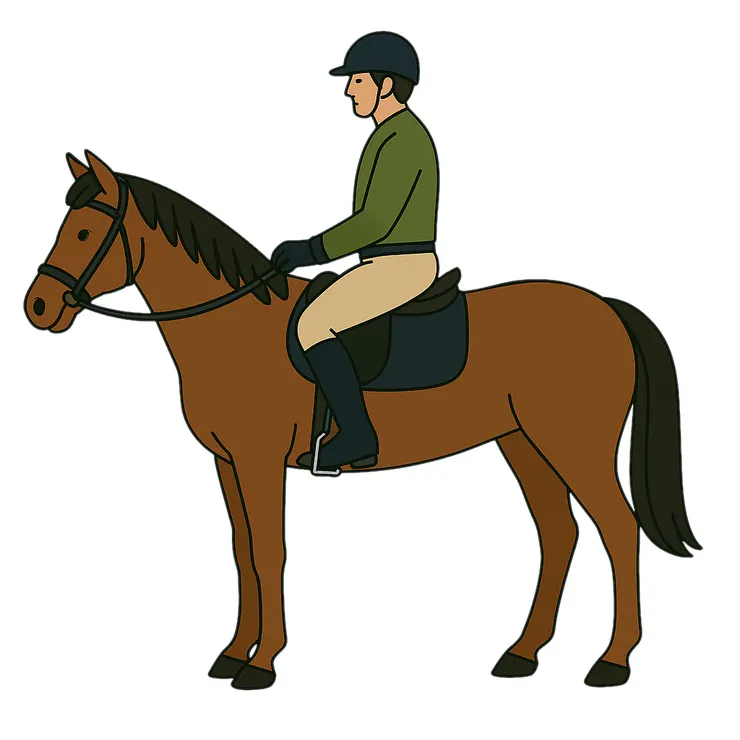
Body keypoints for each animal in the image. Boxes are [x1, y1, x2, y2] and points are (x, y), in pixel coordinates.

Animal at [24, 150, 701, 690]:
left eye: (83, 231)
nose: (37, 306)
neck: (233, 327)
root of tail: (605, 307)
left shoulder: (260, 460)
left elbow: (270, 551)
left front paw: (262, 664)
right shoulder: (226, 461)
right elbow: (242, 552)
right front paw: (233, 652)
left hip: (573, 446)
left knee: (618, 531)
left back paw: (613, 662)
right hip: (523, 444)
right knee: (559, 534)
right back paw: (522, 654)